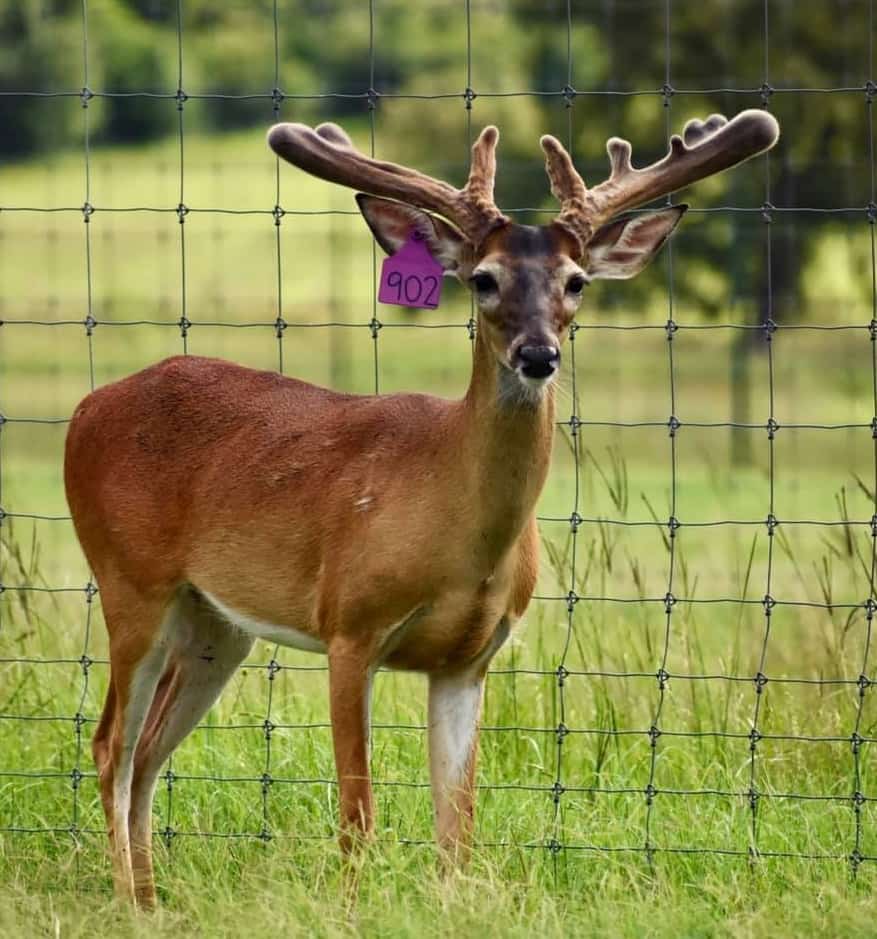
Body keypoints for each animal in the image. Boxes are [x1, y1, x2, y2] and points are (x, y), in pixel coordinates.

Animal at [63, 108, 779, 908]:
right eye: (483, 279)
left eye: (576, 281)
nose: (538, 355)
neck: (456, 533)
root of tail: (86, 407)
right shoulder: (349, 624)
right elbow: (357, 815)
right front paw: (347, 913)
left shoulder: (469, 659)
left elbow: (456, 829)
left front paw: (453, 904)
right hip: (130, 581)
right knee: (111, 744)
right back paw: (131, 903)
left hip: (214, 622)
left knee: (149, 751)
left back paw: (153, 900)